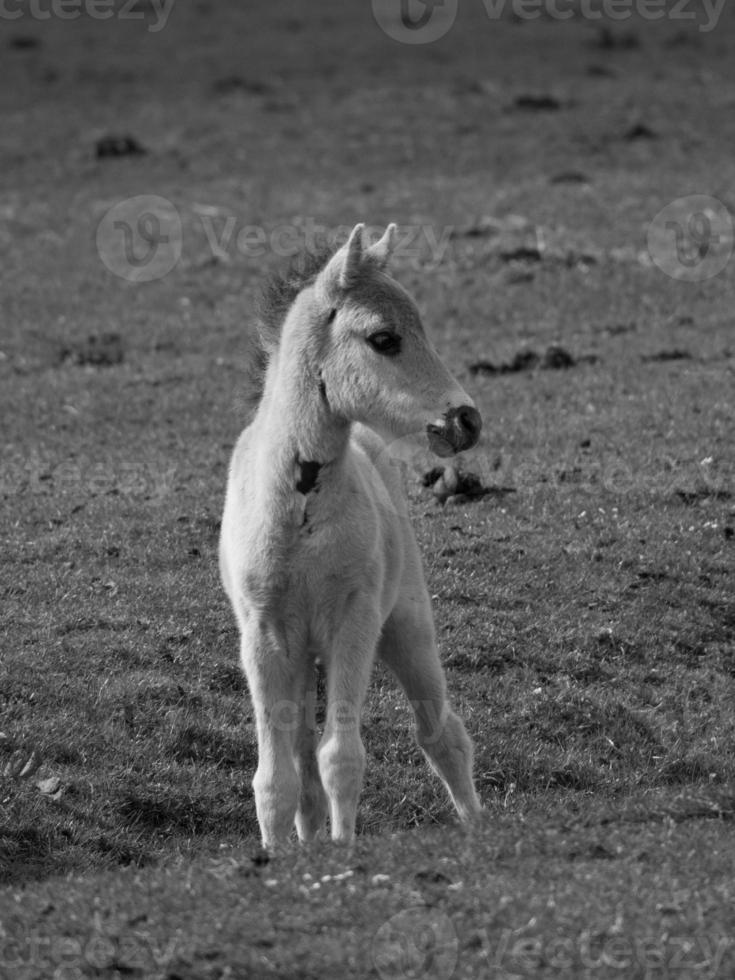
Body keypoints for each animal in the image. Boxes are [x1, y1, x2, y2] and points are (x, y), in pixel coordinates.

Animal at [218, 222, 484, 848]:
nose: (467, 421)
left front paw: (344, 850)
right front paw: (280, 855)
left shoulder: (355, 620)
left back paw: (477, 826)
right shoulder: (263, 637)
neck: (301, 512)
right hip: (303, 658)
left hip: (407, 627)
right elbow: (277, 778)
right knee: (303, 768)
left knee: (442, 734)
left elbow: (342, 757)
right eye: (384, 339)